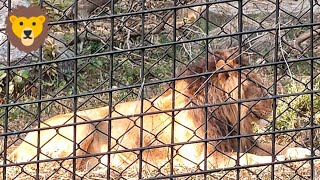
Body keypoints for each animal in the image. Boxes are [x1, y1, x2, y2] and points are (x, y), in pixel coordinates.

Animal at [8, 49, 312, 174]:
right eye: (258, 85)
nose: (275, 102)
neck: (223, 114)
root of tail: (17, 144)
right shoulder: (203, 157)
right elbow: (248, 159)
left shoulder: (236, 141)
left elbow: (276, 148)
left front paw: (303, 152)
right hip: (83, 122)